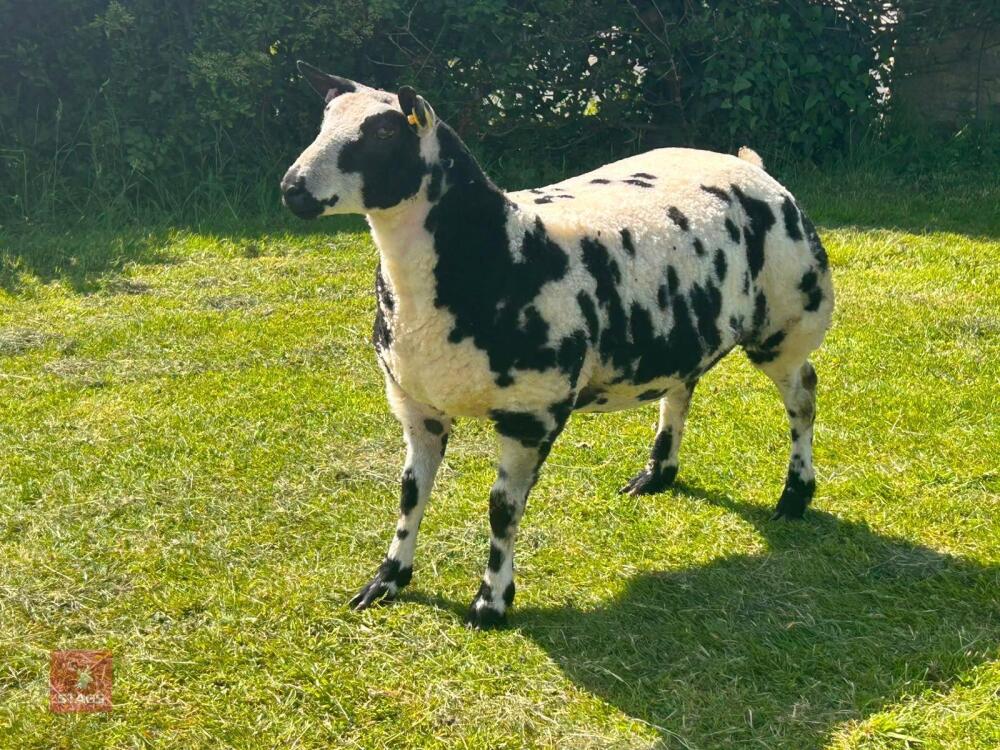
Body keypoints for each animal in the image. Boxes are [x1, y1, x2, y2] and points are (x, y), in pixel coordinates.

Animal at [281, 62, 834, 629]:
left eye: (384, 134)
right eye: (323, 122)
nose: (292, 189)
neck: (496, 246)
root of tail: (748, 165)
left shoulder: (532, 413)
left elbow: (502, 509)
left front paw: (491, 602)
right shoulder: (416, 404)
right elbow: (411, 494)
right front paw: (386, 580)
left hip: (787, 318)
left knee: (803, 394)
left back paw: (795, 494)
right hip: (686, 328)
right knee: (683, 387)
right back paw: (657, 474)